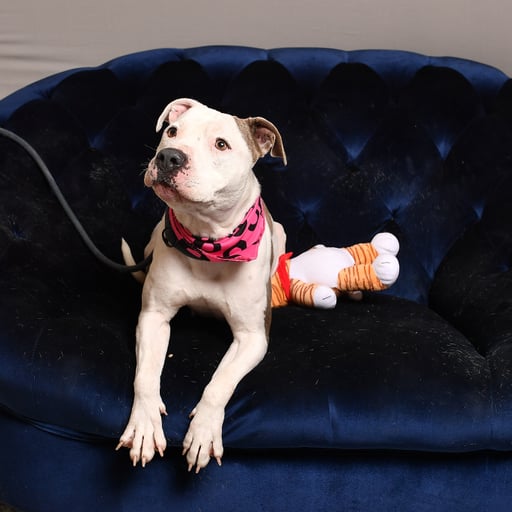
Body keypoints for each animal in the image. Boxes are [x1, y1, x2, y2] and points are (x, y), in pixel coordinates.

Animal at [116, 98, 287, 473]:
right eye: (171, 131)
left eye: (221, 144)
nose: (169, 156)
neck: (207, 241)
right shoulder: (153, 317)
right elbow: (145, 376)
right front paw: (144, 426)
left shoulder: (253, 337)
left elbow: (220, 383)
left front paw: (204, 431)